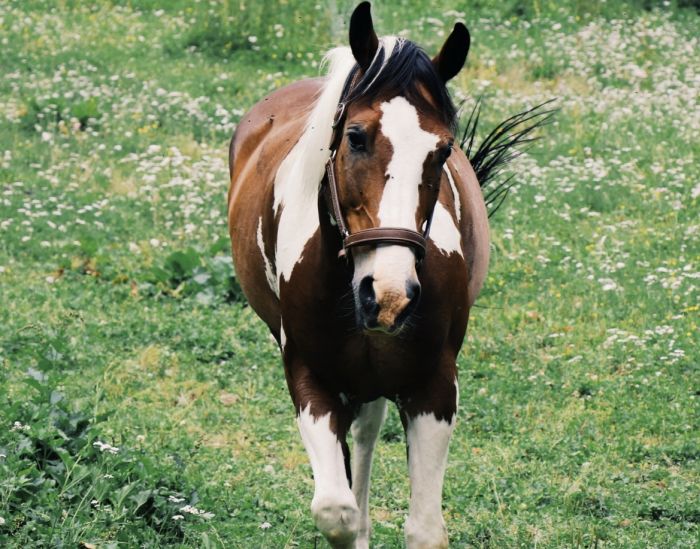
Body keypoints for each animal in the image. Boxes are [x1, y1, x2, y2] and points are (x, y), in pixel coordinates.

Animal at [228, 2, 486, 544]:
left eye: (443, 151)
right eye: (356, 136)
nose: (389, 295)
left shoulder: (434, 386)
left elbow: (425, 529)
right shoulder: (311, 380)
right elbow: (335, 510)